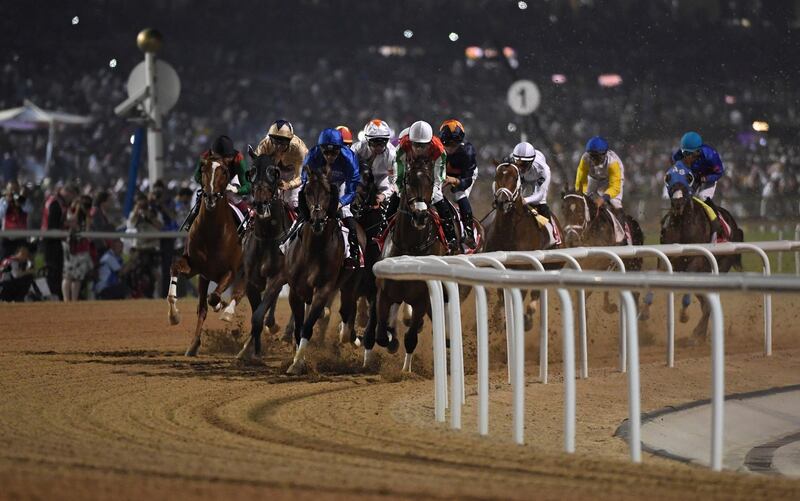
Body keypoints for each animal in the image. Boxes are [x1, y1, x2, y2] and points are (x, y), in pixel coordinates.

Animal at [167, 154, 245, 354]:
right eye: (203, 169)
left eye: (224, 171)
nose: (210, 197)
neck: (212, 233)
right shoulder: (196, 268)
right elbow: (174, 267)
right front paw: (174, 315)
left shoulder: (231, 271)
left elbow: (215, 297)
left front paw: (223, 307)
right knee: (203, 306)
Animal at [236, 146, 292, 362]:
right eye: (251, 172)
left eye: (273, 171)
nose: (260, 203)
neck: (268, 236)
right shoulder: (252, 280)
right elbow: (256, 313)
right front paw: (251, 350)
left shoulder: (279, 275)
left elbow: (258, 315)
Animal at [284, 166, 366, 374]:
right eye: (307, 192)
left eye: (328, 192)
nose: (318, 220)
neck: (313, 249)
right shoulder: (295, 291)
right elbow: (299, 325)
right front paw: (297, 359)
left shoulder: (324, 289)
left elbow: (307, 326)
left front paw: (298, 363)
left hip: (350, 284)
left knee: (347, 310)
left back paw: (351, 337)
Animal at [364, 156, 450, 372]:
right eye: (408, 182)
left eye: (430, 182)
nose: (420, 215)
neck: (410, 248)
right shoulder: (384, 293)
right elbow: (381, 333)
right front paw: (390, 339)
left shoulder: (422, 299)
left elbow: (410, 337)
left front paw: (406, 370)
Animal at [664, 166, 744, 338]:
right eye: (668, 179)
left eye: (688, 179)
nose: (677, 203)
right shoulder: (671, 257)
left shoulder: (696, 260)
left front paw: (684, 315)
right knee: (705, 302)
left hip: (722, 264)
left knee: (707, 304)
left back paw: (697, 333)